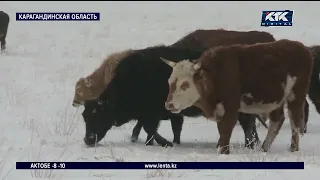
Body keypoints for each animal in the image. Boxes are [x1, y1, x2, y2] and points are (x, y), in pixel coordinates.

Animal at [80, 44, 262, 148]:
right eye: (84, 115)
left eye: (97, 114)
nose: (88, 140)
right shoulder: (162, 113)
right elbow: (166, 128)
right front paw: (167, 142)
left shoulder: (152, 113)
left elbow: (150, 128)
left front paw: (165, 143)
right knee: (248, 126)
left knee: (246, 126)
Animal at [161, 39, 314, 155]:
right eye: (169, 82)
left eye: (185, 84)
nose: (169, 104)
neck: (215, 75)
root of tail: (301, 48)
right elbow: (222, 132)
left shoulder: (230, 109)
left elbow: (226, 131)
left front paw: (224, 153)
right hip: (275, 100)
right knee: (277, 120)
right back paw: (264, 148)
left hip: (295, 96)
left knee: (294, 121)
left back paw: (293, 148)